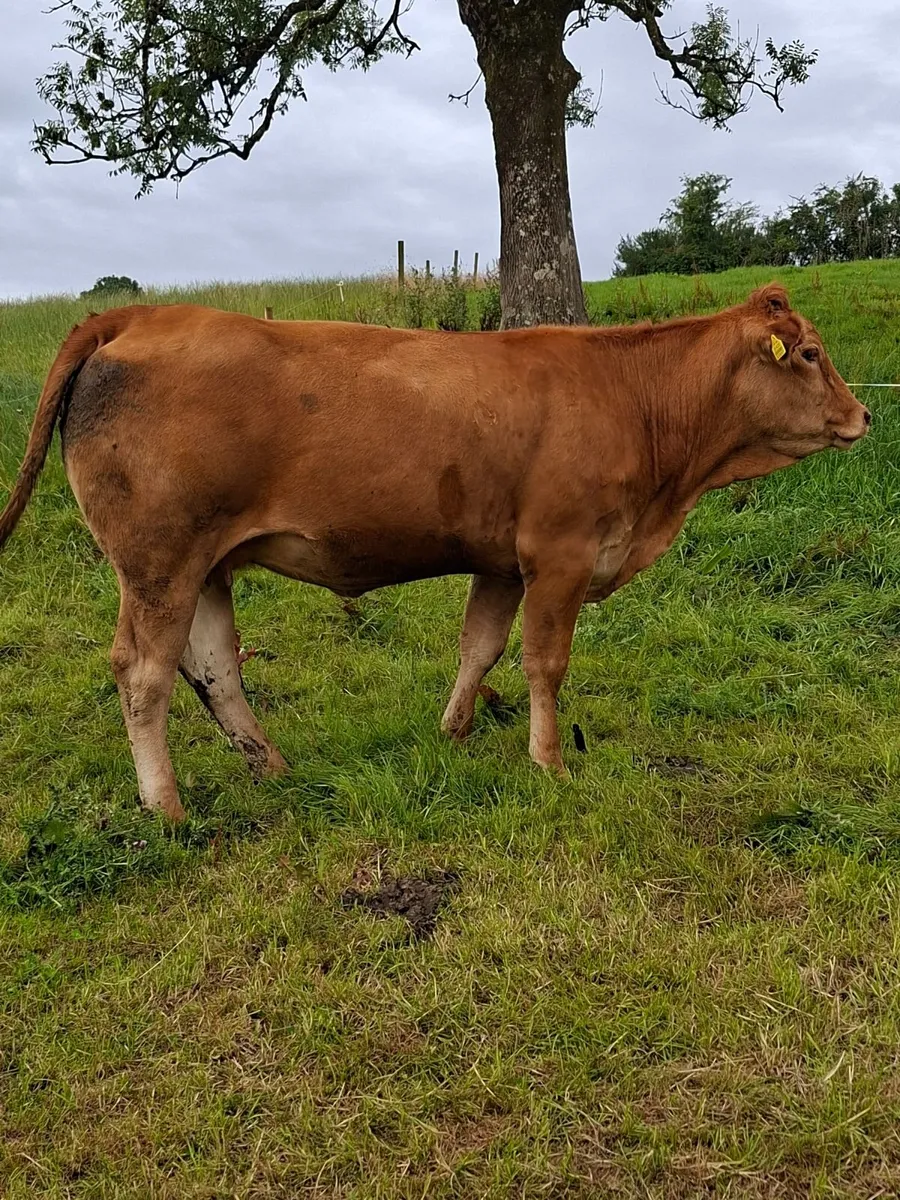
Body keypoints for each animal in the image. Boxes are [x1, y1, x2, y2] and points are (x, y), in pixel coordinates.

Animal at [0, 284, 870, 821]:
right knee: (143, 673)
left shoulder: (501, 561)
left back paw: (271, 767)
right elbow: (544, 663)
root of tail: (139, 315)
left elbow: (479, 646)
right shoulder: (560, 554)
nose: (862, 416)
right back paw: (167, 807)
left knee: (214, 666)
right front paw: (549, 761)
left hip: (206, 562)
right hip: (159, 561)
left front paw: (454, 730)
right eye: (812, 354)